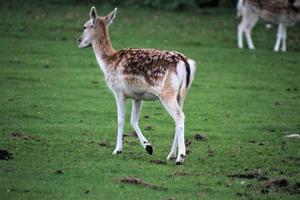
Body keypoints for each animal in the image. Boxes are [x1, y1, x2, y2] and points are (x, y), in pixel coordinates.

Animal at [76, 6, 196, 164]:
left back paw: (180, 157)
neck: (108, 62)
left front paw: (117, 150)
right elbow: (133, 120)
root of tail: (186, 62)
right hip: (182, 94)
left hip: (167, 93)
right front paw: (148, 147)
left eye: (85, 26)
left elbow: (120, 119)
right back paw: (171, 155)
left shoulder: (118, 91)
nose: (78, 41)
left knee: (179, 116)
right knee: (178, 118)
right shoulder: (137, 96)